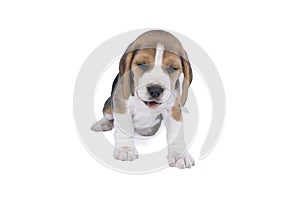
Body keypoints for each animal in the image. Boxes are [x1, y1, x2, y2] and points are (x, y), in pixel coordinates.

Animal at [91, 30, 195, 169]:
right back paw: (102, 124)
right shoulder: (121, 105)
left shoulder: (173, 110)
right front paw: (126, 150)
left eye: (173, 67)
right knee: (109, 117)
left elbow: (176, 134)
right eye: (142, 64)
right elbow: (124, 128)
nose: (155, 90)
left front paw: (180, 155)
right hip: (108, 106)